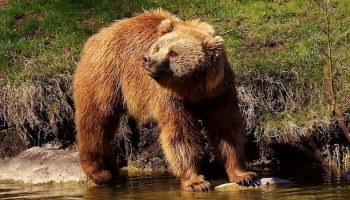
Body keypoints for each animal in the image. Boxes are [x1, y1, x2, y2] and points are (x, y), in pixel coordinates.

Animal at [72, 9, 256, 192]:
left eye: (173, 53)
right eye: (158, 47)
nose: (147, 59)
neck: (193, 89)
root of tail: (96, 36)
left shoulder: (218, 92)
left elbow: (226, 129)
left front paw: (243, 175)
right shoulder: (170, 97)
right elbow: (180, 134)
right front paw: (196, 182)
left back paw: (112, 167)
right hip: (105, 77)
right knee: (96, 122)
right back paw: (98, 172)